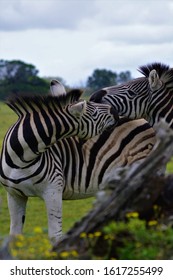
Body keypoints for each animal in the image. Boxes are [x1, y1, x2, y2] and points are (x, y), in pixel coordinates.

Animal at [0, 91, 118, 244]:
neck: (21, 159)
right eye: (94, 113)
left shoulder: (53, 190)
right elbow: (15, 235)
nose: (116, 112)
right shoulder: (14, 195)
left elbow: (55, 235)